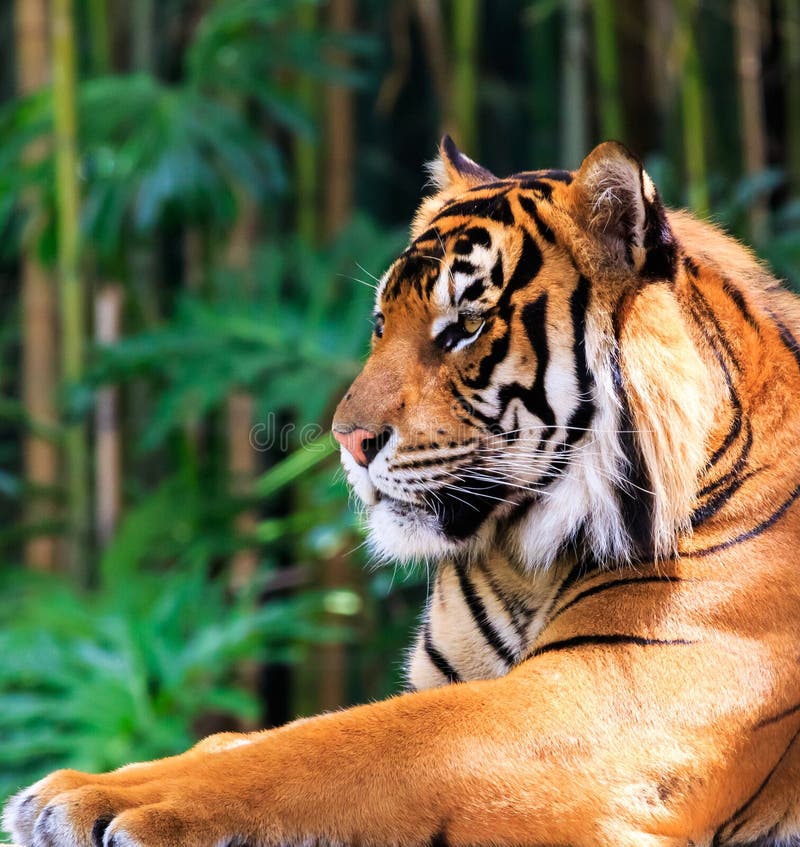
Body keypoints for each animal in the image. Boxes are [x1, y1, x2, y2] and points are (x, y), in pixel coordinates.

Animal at [6, 139, 800, 847]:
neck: (523, 560)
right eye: (381, 324)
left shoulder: (605, 692)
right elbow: (266, 733)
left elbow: (340, 744)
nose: (347, 440)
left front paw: (89, 796)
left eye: (466, 326)